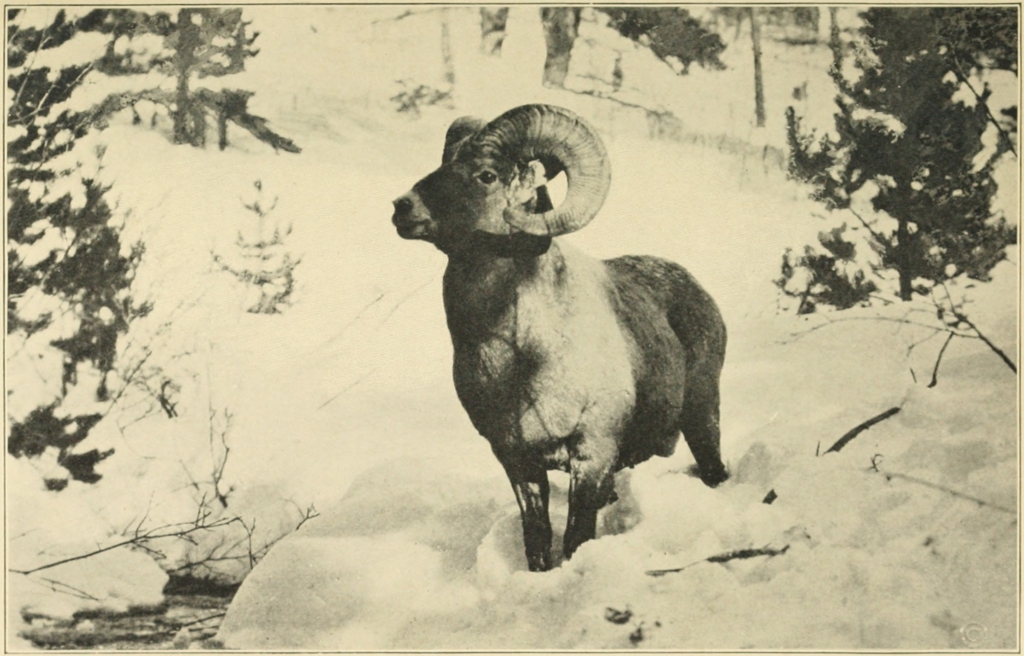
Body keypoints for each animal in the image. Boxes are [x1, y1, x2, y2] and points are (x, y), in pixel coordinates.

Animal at [391, 104, 728, 571]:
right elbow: (538, 541)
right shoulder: (519, 463)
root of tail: (695, 288)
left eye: (486, 175)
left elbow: (575, 538)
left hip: (702, 416)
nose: (403, 207)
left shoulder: (592, 455)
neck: (517, 357)